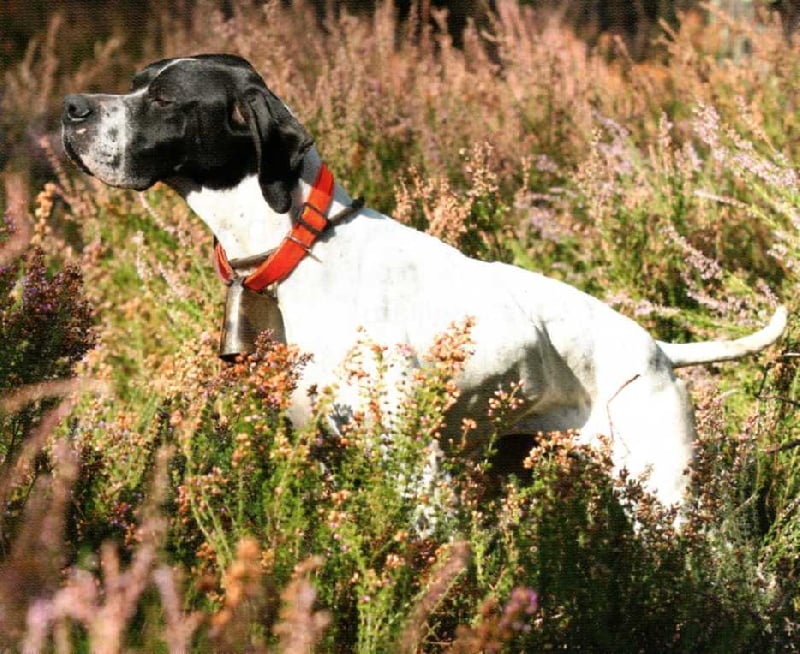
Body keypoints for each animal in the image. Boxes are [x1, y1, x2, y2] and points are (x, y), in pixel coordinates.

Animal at [62, 55, 788, 508]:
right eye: (136, 83)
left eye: (164, 99)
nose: (71, 107)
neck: (299, 247)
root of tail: (659, 349)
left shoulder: (418, 476)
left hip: (666, 497)